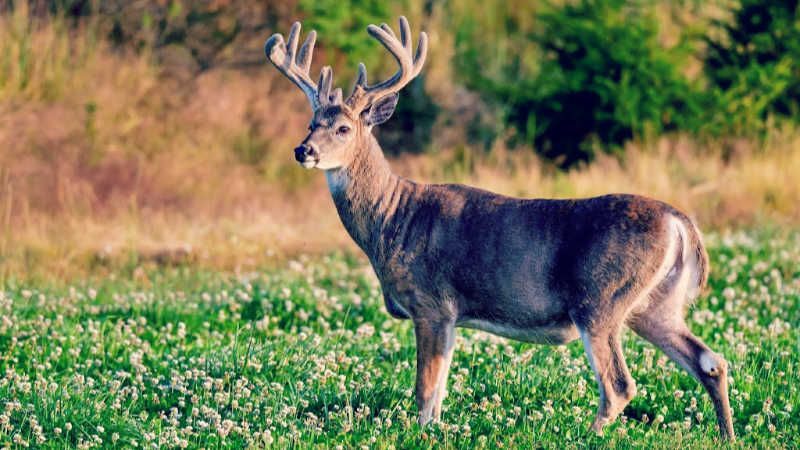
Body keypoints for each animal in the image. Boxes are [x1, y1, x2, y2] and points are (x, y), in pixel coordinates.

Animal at [264, 17, 735, 440]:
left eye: (344, 128)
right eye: (311, 124)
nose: (303, 150)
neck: (393, 218)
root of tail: (680, 223)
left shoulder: (431, 303)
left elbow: (424, 392)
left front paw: (421, 434)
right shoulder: (449, 315)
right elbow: (438, 394)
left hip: (600, 298)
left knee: (619, 384)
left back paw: (585, 435)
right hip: (655, 305)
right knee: (710, 361)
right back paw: (726, 435)